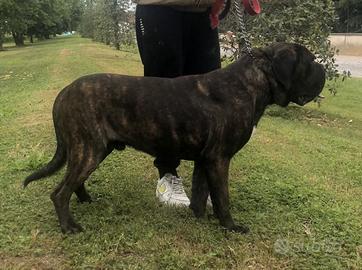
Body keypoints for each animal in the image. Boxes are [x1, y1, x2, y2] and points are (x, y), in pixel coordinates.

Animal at [24, 43, 326, 233]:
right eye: (310, 62)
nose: (323, 69)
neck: (251, 82)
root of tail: (65, 91)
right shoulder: (219, 159)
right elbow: (223, 197)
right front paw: (230, 227)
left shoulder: (206, 160)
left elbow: (204, 193)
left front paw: (201, 217)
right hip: (89, 150)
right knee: (59, 192)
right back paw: (69, 226)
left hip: (93, 149)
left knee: (74, 183)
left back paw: (85, 201)